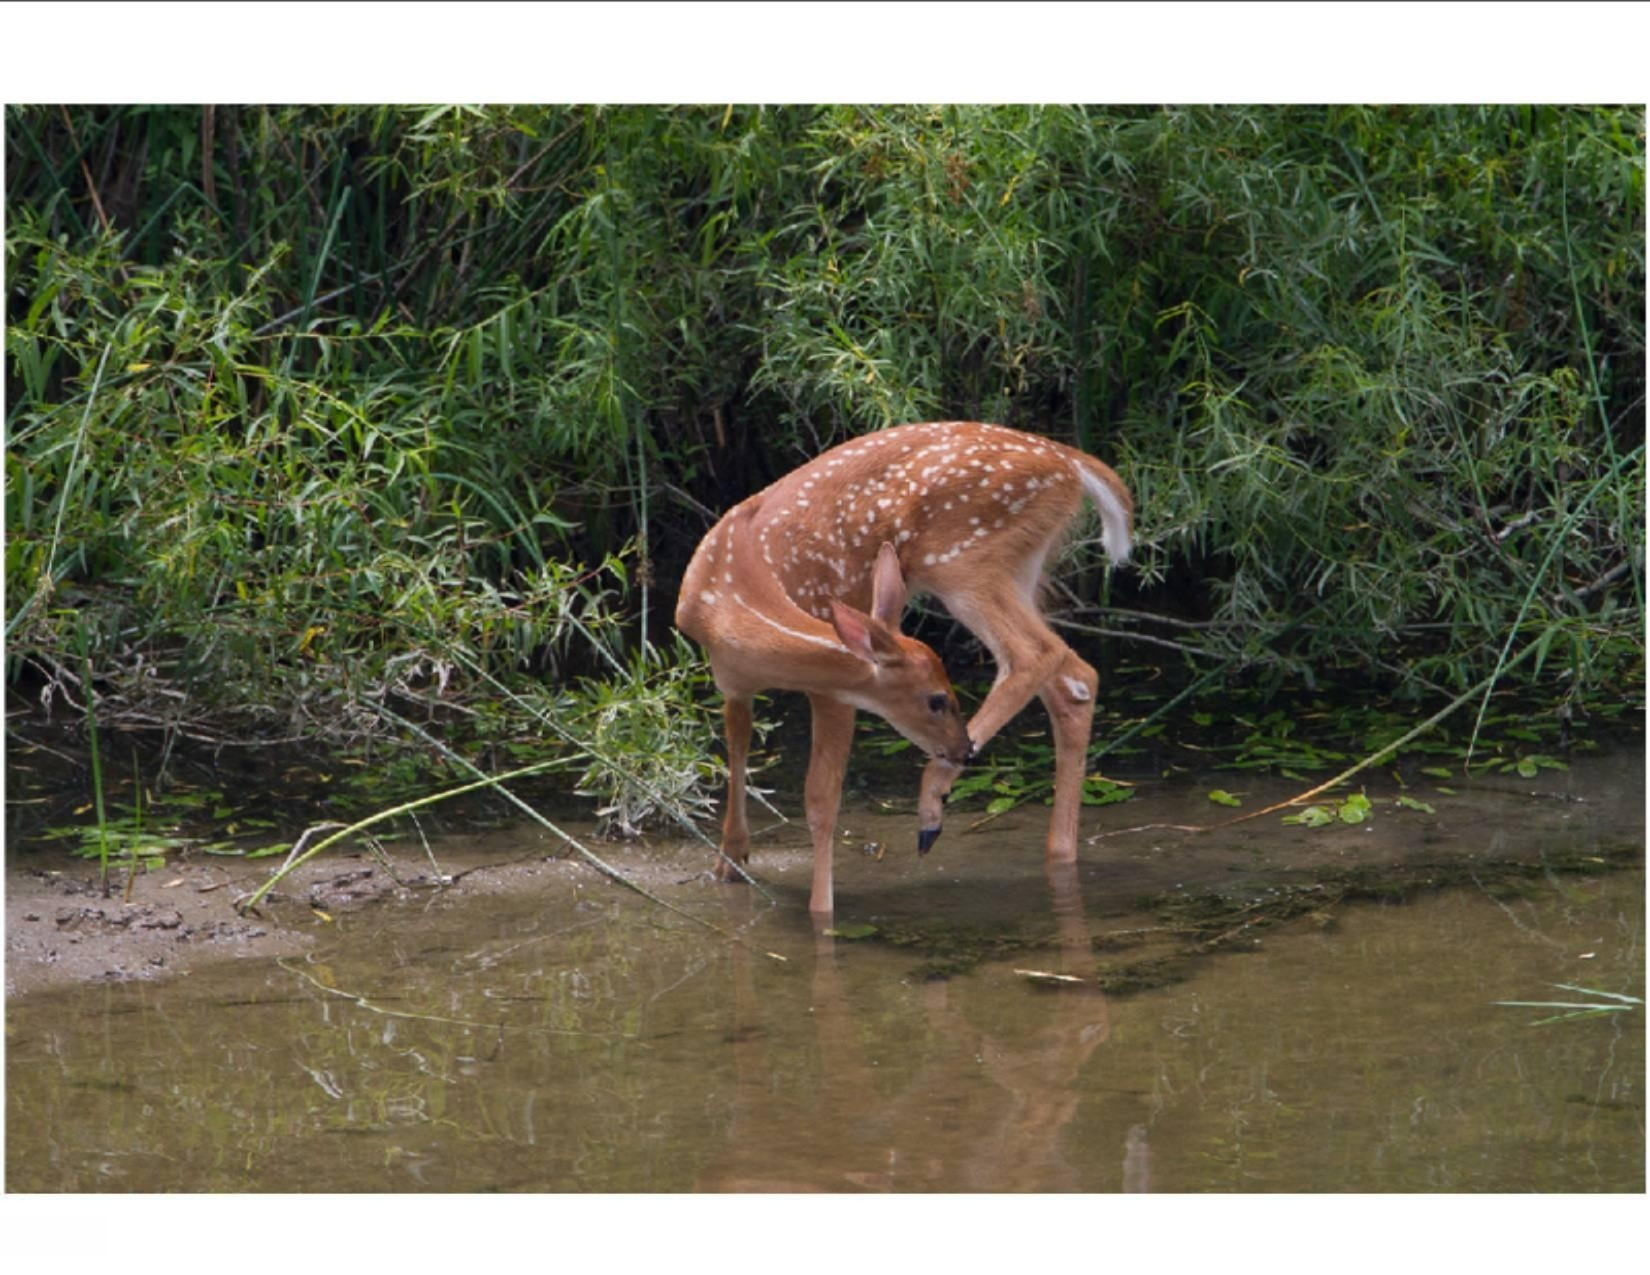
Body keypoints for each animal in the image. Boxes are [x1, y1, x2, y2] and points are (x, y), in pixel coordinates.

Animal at [675, 421, 1133, 915]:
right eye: (936, 700)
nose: (964, 749)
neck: (732, 594)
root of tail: (1070, 463)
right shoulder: (732, 684)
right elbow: (736, 752)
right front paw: (729, 861)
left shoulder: (833, 693)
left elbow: (821, 798)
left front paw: (822, 913)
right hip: (1018, 566)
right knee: (1074, 677)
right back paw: (1058, 854)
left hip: (965, 561)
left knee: (1035, 655)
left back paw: (934, 805)